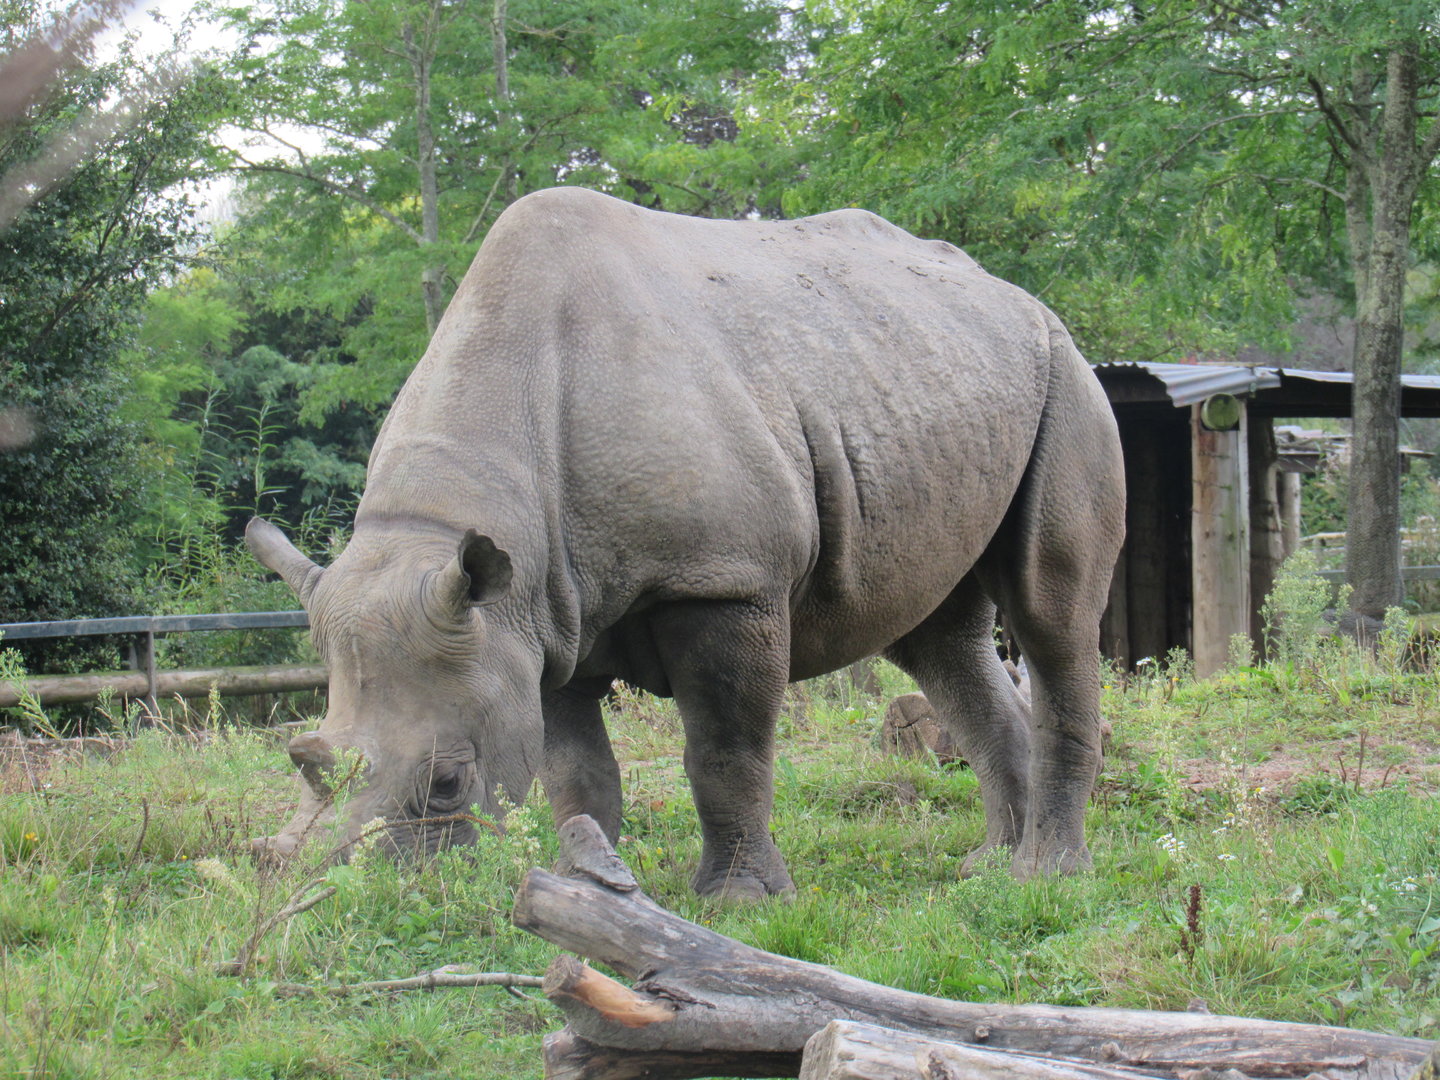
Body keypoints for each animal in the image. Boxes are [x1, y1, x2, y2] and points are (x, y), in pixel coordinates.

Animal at [247, 186, 1124, 898]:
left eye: (453, 783)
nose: (358, 897)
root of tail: (1016, 294)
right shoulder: (540, 616)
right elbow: (576, 771)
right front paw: (588, 885)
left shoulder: (722, 579)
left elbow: (724, 753)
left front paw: (738, 902)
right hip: (929, 376)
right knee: (934, 634)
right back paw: (991, 870)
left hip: (1065, 370)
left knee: (1050, 614)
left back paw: (1048, 876)